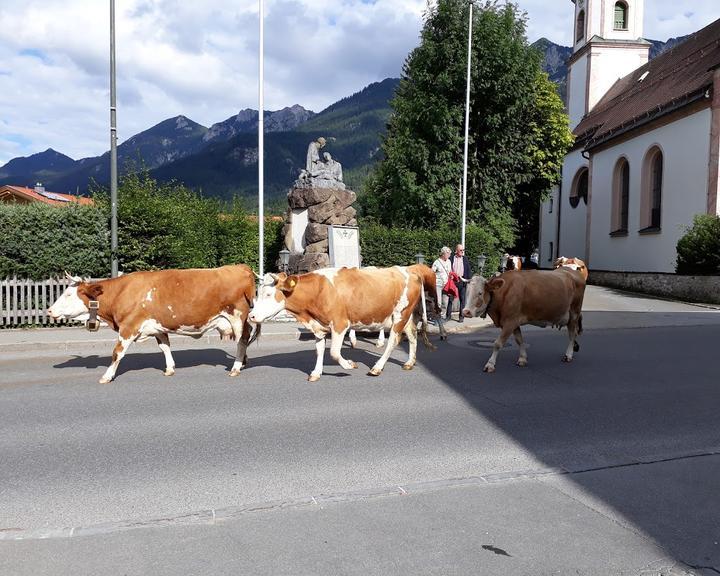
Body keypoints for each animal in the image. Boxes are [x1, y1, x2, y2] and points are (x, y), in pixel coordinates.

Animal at [46, 266, 258, 382]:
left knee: (241, 341)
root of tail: (240, 267)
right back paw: (243, 362)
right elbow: (165, 347)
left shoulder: (128, 327)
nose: (48, 310)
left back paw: (236, 367)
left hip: (237, 317)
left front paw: (107, 376)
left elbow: (117, 353)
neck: (122, 292)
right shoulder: (157, 327)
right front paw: (170, 368)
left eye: (68, 294)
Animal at [249, 266, 428, 382]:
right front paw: (316, 372)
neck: (318, 291)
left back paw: (377, 367)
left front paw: (348, 365)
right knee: (412, 334)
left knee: (393, 341)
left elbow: (334, 352)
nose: (251, 316)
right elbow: (320, 350)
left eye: (268, 294)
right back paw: (409, 362)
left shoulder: (340, 324)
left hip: (400, 315)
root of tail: (411, 271)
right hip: (405, 316)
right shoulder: (319, 326)